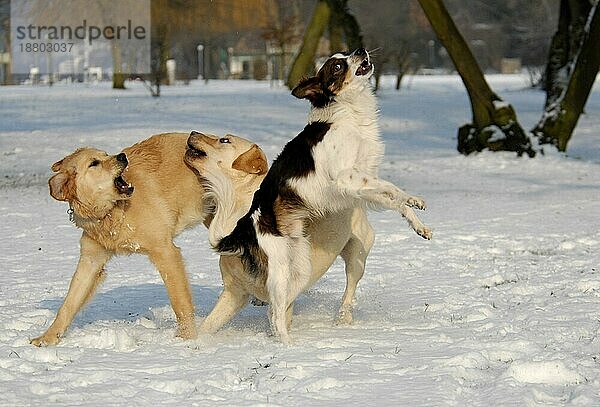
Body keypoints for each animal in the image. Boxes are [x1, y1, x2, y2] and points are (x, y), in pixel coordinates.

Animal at [31, 132, 207, 346]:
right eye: (94, 163)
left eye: (106, 154)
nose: (122, 156)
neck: (112, 212)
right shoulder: (91, 260)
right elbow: (68, 304)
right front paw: (47, 339)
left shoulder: (165, 252)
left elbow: (180, 302)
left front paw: (186, 338)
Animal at [185, 134, 372, 334]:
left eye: (224, 140)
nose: (192, 132)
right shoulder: (234, 292)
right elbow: (208, 325)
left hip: (357, 254)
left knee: (350, 285)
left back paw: (344, 317)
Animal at [213, 47, 428, 344]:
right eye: (337, 66)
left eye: (347, 53)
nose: (360, 50)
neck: (349, 114)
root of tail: (244, 225)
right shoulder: (347, 179)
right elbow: (391, 192)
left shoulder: (362, 184)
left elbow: (394, 195)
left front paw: (416, 213)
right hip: (280, 269)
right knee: (275, 314)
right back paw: (288, 346)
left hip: (299, 265)